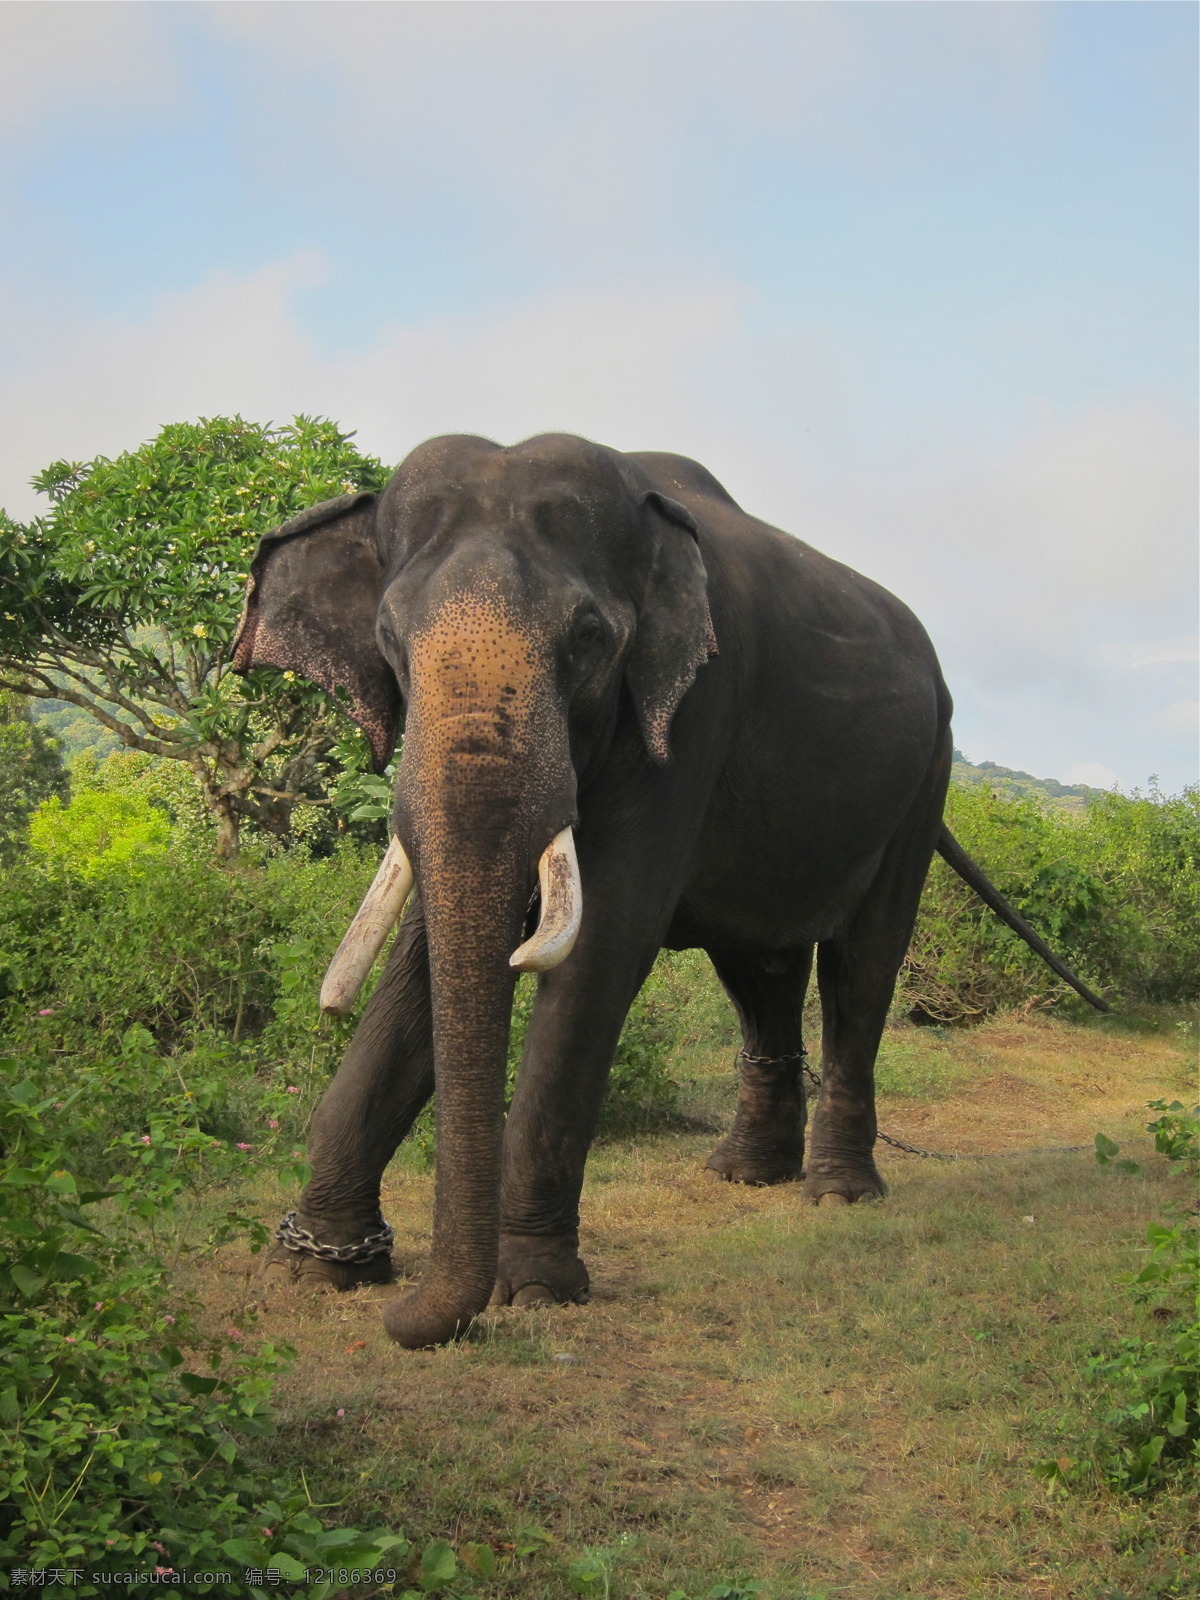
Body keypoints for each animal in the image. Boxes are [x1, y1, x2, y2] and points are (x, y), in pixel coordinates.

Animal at [232, 432, 1107, 1344]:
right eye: (387, 636)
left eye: (588, 637)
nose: (404, 1312)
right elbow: (425, 960)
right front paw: (313, 1269)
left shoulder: (693, 714)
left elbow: (603, 944)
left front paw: (534, 1290)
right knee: (763, 963)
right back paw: (742, 1174)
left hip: (922, 779)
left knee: (863, 964)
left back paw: (837, 1194)